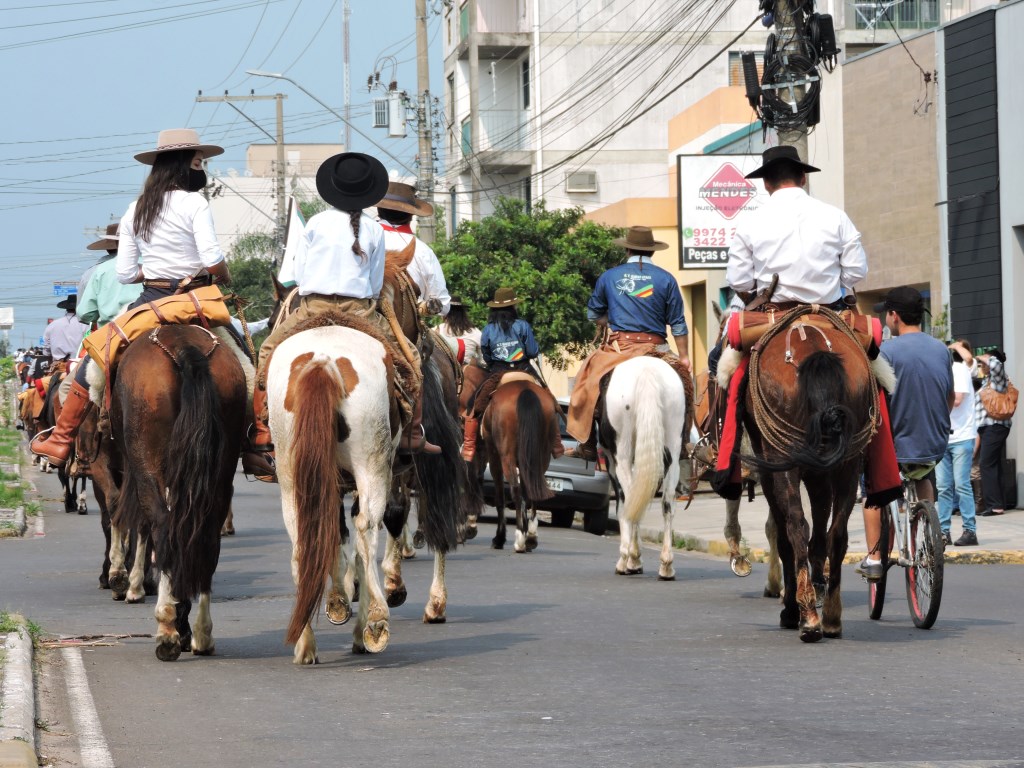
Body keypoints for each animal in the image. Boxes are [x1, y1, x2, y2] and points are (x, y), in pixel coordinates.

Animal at [110, 325, 247, 663]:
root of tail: (184, 345)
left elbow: (132, 521)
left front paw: (126, 580)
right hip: (222, 463)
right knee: (205, 535)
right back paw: (200, 634)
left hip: (147, 462)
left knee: (162, 526)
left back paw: (167, 629)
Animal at [268, 325, 399, 667]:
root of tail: (323, 360)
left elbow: (335, 535)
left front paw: (337, 601)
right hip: (373, 463)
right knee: (367, 531)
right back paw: (376, 621)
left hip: (291, 470)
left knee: (305, 540)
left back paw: (305, 643)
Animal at [598, 358, 688, 581]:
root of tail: (648, 371)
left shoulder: (612, 462)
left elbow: (623, 505)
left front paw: (629, 559)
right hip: (673, 446)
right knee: (667, 504)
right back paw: (666, 565)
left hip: (622, 453)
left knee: (630, 498)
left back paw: (630, 558)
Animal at [733, 309, 876, 643]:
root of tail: (814, 346)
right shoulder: (819, 472)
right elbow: (820, 531)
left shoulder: (772, 469)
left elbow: (784, 534)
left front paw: (791, 608)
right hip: (849, 463)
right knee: (837, 533)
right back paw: (831, 617)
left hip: (783, 461)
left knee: (796, 526)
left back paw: (808, 618)